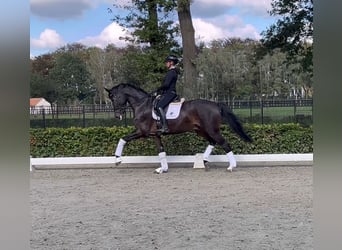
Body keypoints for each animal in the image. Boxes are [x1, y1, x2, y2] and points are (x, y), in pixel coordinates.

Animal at [105, 83, 252, 173]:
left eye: (114, 97)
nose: (117, 116)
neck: (142, 105)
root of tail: (216, 104)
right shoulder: (155, 135)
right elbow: (161, 151)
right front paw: (162, 169)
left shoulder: (142, 132)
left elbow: (123, 139)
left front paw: (117, 159)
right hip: (201, 131)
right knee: (212, 142)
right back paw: (203, 161)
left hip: (212, 130)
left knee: (225, 144)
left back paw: (231, 166)